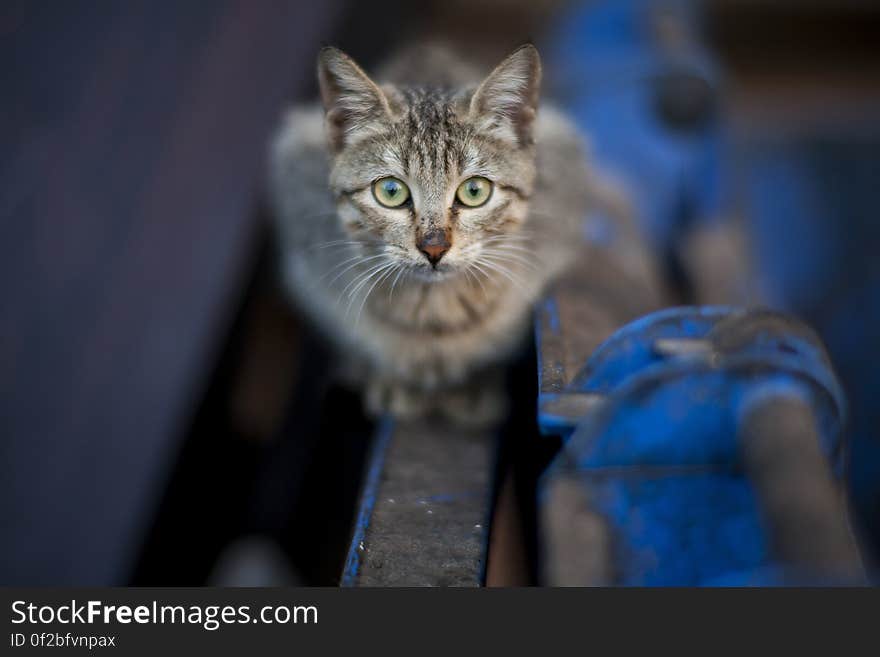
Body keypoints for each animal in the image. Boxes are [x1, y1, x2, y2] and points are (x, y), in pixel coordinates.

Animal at [270, 46, 592, 422]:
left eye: (474, 190)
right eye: (391, 191)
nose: (434, 248)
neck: (433, 310)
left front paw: (475, 380)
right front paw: (389, 374)